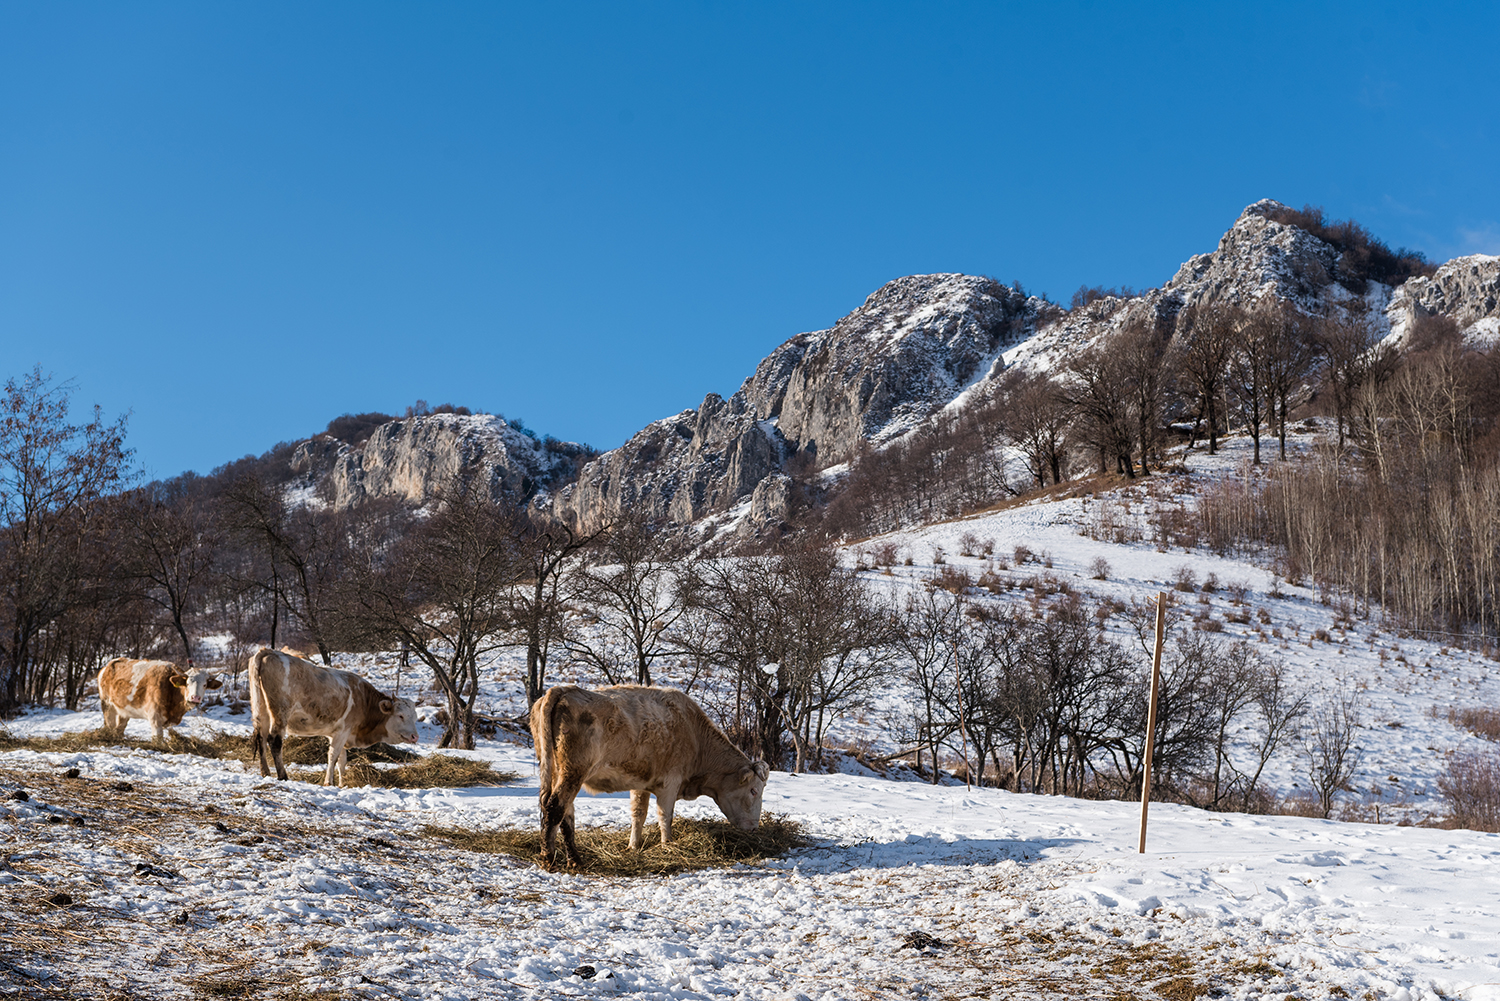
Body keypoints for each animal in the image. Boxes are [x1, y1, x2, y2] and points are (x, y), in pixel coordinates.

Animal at [246, 645, 420, 786]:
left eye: (415, 717)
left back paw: (265, 773)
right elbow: (333, 757)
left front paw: (342, 784)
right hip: (280, 712)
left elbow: (342, 761)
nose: (415, 736)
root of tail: (270, 651)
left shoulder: (339, 734)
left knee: (261, 738)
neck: (364, 701)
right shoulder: (343, 731)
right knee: (274, 740)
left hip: (260, 709)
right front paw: (329, 782)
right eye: (400, 716)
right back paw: (283, 776)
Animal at [531, 684, 768, 864]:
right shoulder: (670, 783)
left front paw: (633, 847)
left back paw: (574, 858)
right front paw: (667, 845)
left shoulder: (640, 783)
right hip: (573, 772)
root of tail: (565, 689)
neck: (696, 737)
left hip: (559, 772)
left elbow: (638, 815)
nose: (754, 828)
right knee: (556, 807)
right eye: (754, 791)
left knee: (566, 813)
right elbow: (665, 815)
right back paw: (550, 857)